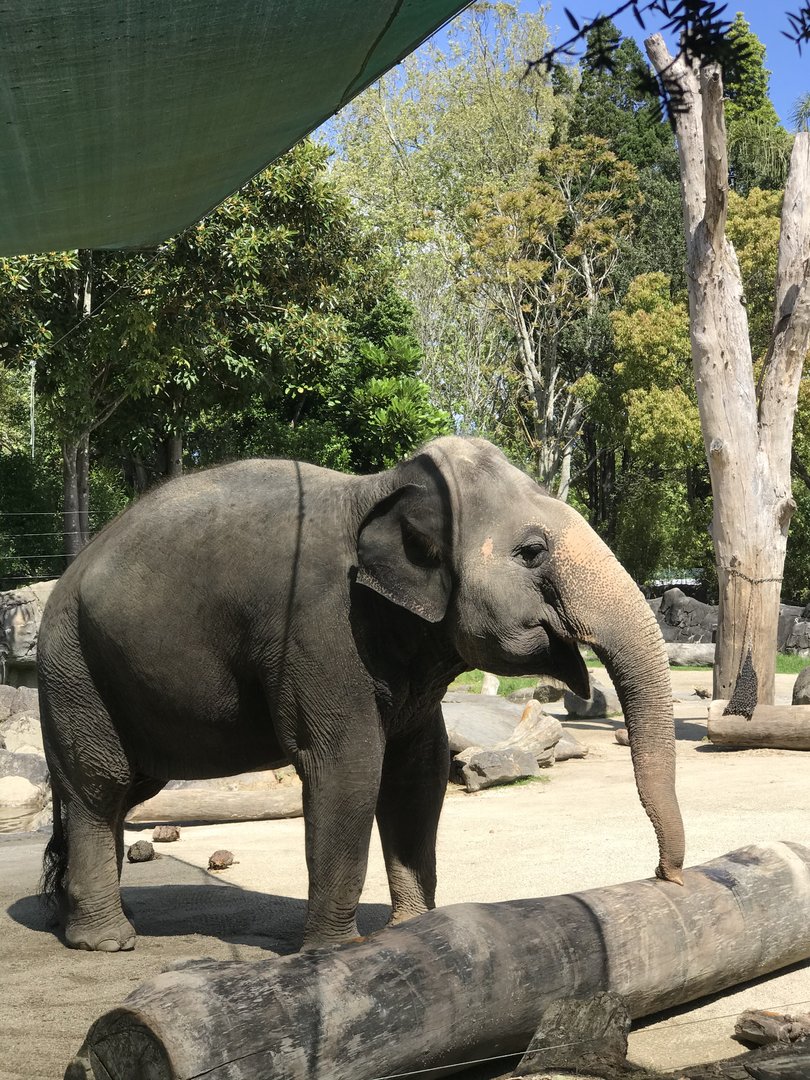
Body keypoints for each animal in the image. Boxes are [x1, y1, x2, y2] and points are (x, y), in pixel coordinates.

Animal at [38, 435, 685, 952]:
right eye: (532, 552)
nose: (667, 878)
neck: (378, 488)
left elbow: (419, 769)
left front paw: (413, 929)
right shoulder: (319, 630)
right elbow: (349, 765)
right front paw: (335, 952)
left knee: (121, 791)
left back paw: (86, 918)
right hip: (75, 669)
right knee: (100, 785)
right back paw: (108, 941)